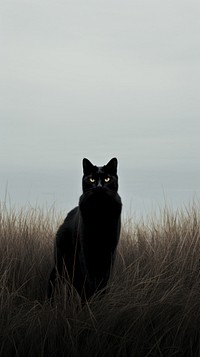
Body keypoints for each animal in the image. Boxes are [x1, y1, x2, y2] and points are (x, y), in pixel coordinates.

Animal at [47, 157, 122, 298]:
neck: (100, 212)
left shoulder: (110, 252)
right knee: (55, 278)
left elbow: (104, 280)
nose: (99, 186)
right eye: (91, 179)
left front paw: (100, 298)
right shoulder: (85, 250)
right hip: (62, 261)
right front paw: (89, 299)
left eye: (107, 179)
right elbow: (89, 280)